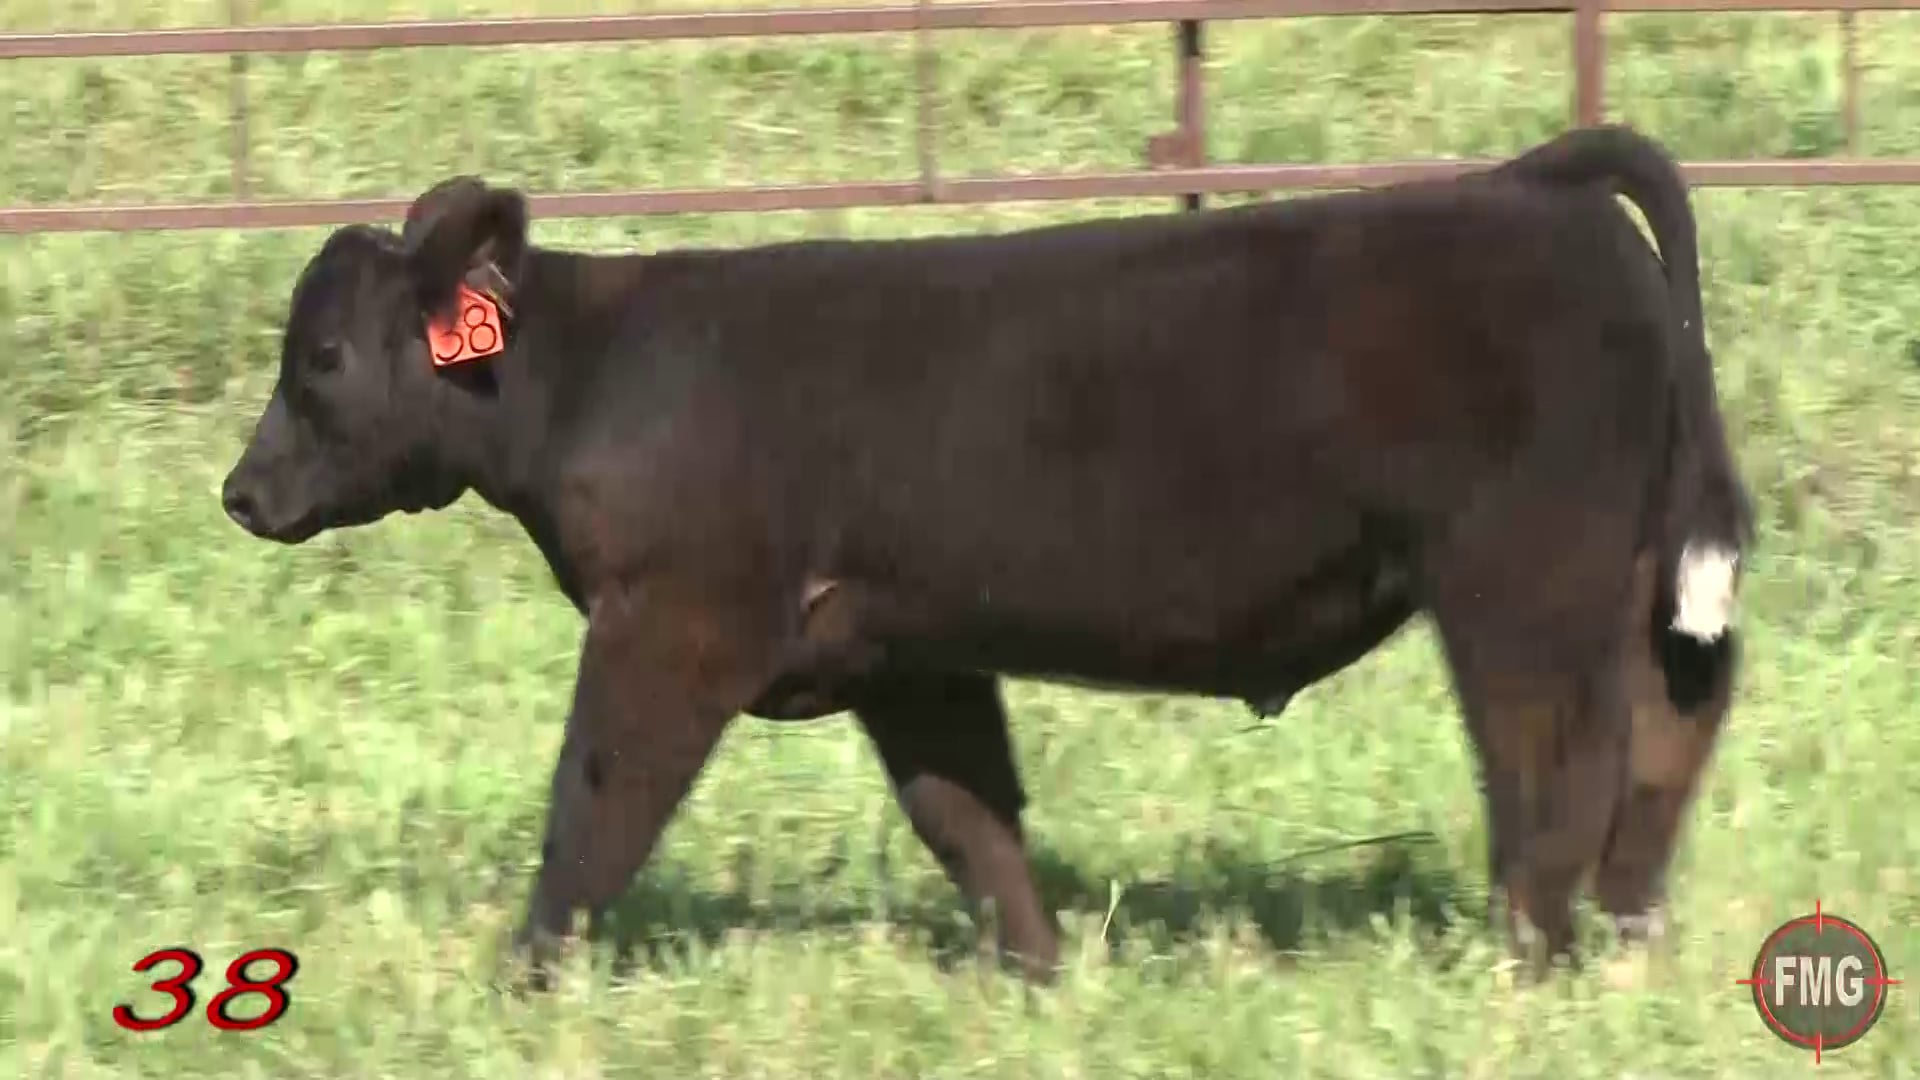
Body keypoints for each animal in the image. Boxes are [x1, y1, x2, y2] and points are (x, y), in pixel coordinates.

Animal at [219, 124, 1753, 986]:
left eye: (324, 357)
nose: (240, 492)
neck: (600, 375)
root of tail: (1529, 189)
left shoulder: (673, 623)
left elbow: (593, 809)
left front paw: (524, 977)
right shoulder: (911, 650)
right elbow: (970, 819)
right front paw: (1039, 981)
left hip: (1520, 581)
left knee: (1559, 766)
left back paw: (1528, 963)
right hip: (1631, 579)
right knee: (1668, 738)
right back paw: (1622, 946)